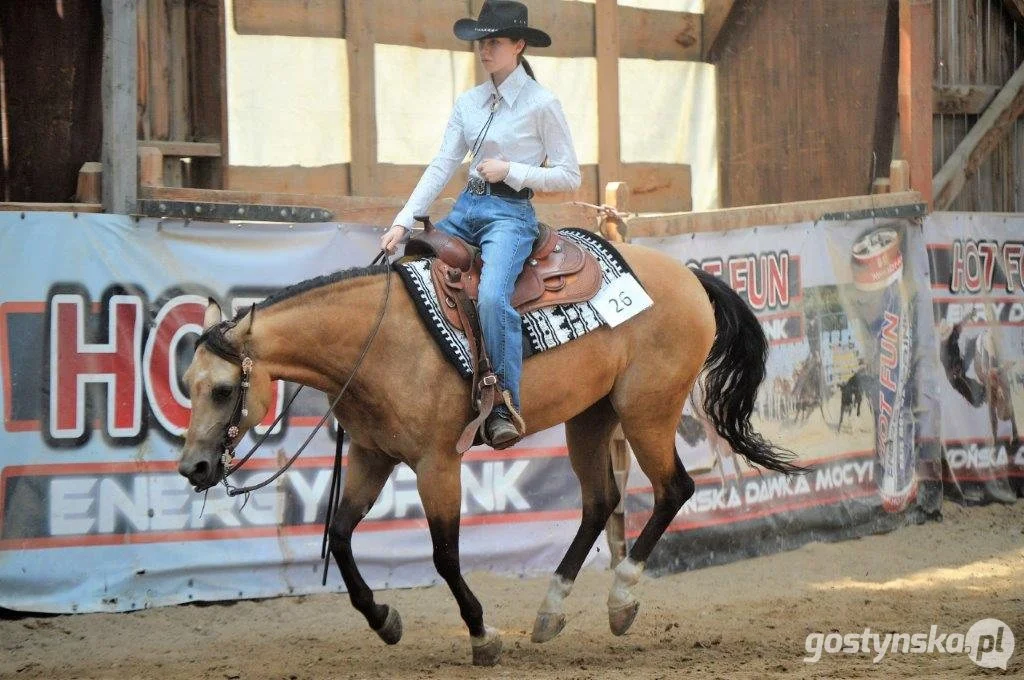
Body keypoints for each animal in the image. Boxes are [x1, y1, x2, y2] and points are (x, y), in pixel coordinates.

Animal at [174, 236, 798, 667]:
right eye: (187, 382)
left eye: (224, 389)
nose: (193, 467)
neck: (376, 342)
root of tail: (690, 278)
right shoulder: (372, 457)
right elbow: (342, 535)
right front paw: (384, 619)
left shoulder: (436, 464)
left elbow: (446, 556)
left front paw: (482, 635)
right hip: (590, 417)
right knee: (600, 502)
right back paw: (550, 612)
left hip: (646, 410)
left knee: (674, 489)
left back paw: (621, 600)